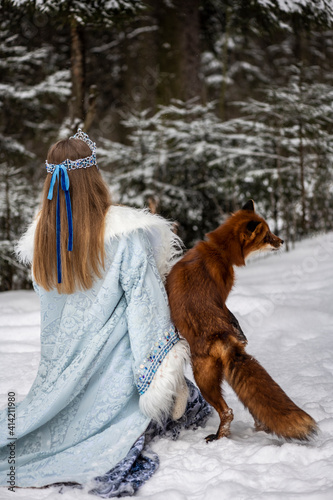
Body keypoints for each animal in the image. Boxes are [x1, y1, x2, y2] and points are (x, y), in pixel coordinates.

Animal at [166, 199, 316, 442]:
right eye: (268, 235)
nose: (281, 241)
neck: (218, 252)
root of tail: (223, 336)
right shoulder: (222, 299)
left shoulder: (224, 295)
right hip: (224, 377)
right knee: (251, 408)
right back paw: (258, 429)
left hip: (203, 380)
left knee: (228, 411)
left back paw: (218, 436)